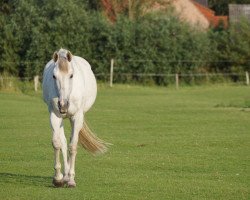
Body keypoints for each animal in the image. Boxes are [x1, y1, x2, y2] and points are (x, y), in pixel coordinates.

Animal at [41, 48, 107, 188]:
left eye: (71, 75)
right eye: (54, 76)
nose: (63, 105)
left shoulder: (77, 117)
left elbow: (73, 146)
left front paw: (71, 180)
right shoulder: (54, 116)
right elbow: (57, 143)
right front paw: (58, 178)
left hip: (73, 119)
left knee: (71, 141)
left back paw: (68, 177)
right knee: (63, 142)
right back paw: (64, 176)